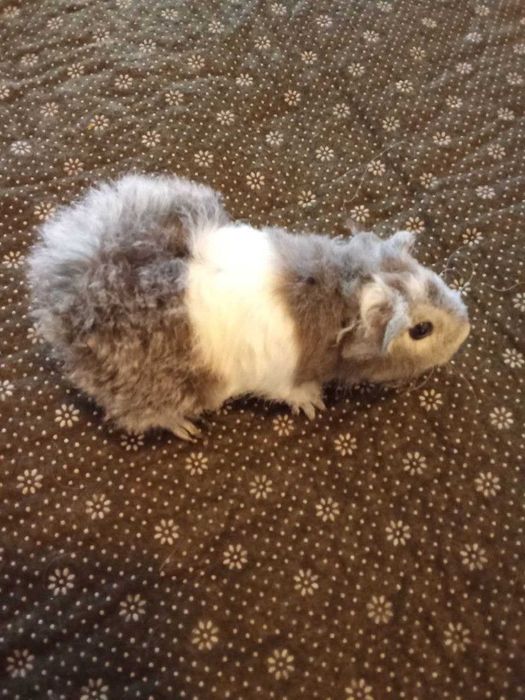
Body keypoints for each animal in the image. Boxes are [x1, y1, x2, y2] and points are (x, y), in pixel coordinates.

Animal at [28, 174, 470, 440]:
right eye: (421, 329)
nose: (466, 327)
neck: (338, 299)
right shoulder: (281, 378)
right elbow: (294, 392)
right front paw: (314, 405)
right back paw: (186, 428)